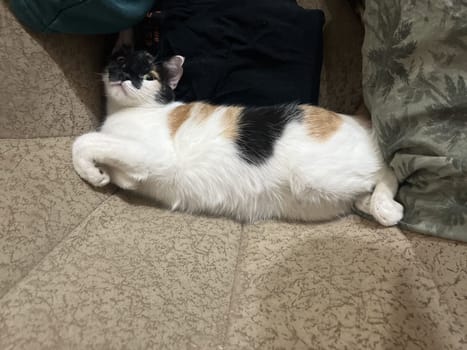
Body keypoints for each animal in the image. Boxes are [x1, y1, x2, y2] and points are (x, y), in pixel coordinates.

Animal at [71, 47, 404, 226]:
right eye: (121, 63)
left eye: (149, 76)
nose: (129, 78)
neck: (128, 112)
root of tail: (358, 119)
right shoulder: (133, 170)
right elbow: (117, 170)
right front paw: (102, 173)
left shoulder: (152, 155)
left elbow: (84, 141)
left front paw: (92, 174)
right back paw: (374, 204)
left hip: (317, 176)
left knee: (388, 170)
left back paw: (387, 206)